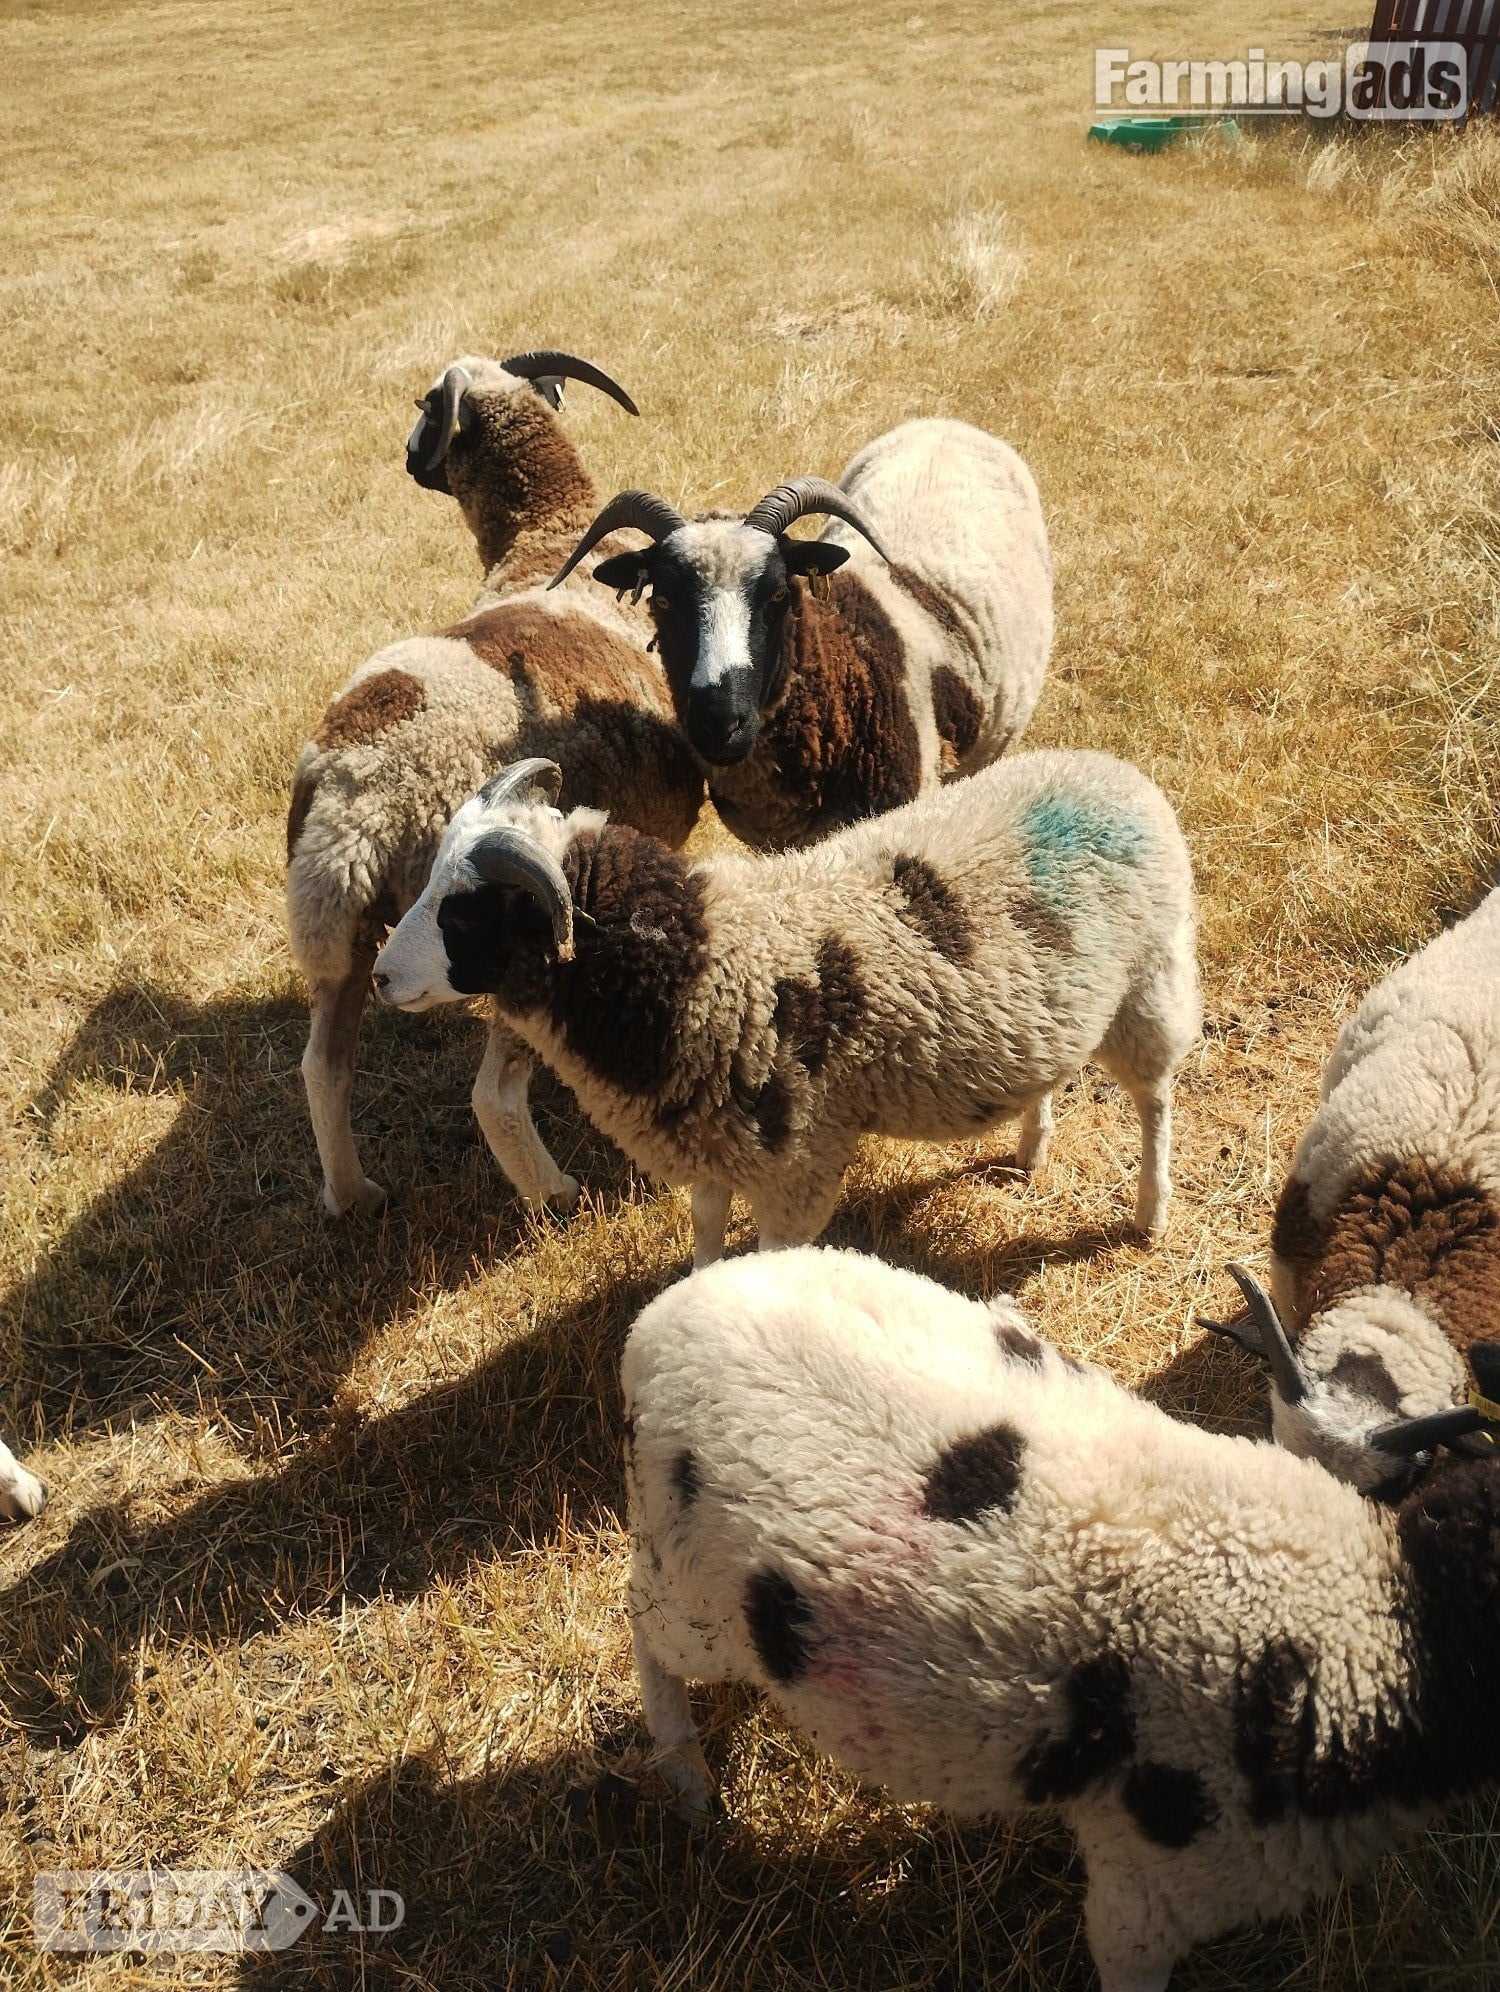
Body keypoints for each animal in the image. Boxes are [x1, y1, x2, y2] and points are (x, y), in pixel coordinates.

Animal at [286, 348, 705, 1216]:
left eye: (422, 407)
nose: (406, 457)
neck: (549, 539)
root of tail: (357, 795)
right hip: (504, 924)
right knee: (495, 1096)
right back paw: (557, 1195)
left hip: (349, 936)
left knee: (324, 1066)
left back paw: (354, 1196)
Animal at [370, 745, 1201, 1255]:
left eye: (465, 912)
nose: (379, 977)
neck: (701, 953)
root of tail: (1115, 771)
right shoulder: (709, 1142)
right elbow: (706, 1239)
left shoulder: (797, 1161)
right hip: (1060, 1004)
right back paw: (1031, 1151)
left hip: (1150, 982)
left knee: (1156, 1098)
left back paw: (1150, 1213)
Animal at [623, 1245, 1500, 1992]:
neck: (1384, 1623)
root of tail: (661, 1318)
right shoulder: (1159, 1880)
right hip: (694, 1590)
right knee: (644, 1628)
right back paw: (689, 1783)